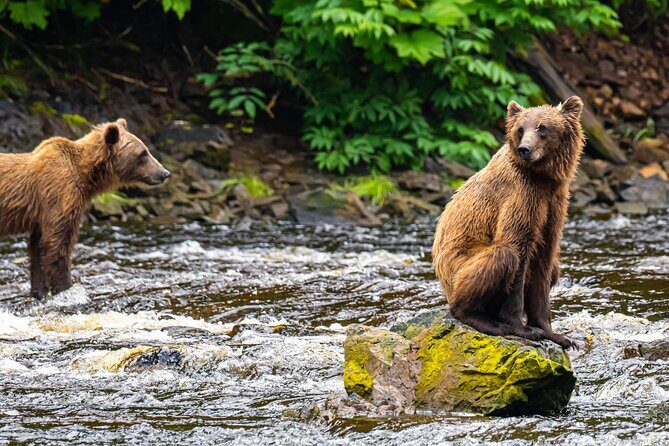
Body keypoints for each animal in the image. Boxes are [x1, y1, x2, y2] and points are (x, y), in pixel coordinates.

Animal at [0, 118, 171, 299]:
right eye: (143, 153)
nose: (165, 173)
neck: (86, 176)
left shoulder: (42, 215)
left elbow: (37, 248)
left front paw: (40, 291)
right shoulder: (60, 195)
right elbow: (57, 243)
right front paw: (66, 288)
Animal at [432, 96, 585, 349]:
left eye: (542, 127)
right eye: (520, 129)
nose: (525, 149)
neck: (543, 178)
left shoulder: (554, 205)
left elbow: (544, 263)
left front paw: (556, 334)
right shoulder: (522, 196)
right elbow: (516, 248)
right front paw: (524, 329)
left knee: (555, 267)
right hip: (457, 267)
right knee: (499, 257)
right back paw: (483, 319)